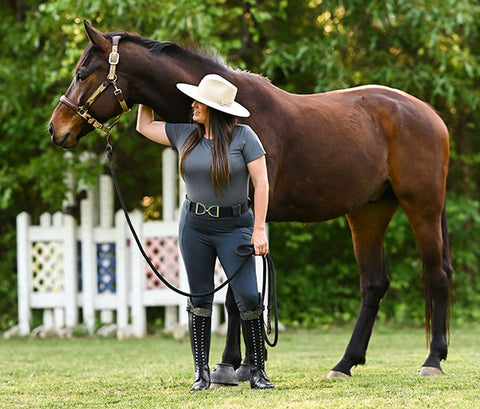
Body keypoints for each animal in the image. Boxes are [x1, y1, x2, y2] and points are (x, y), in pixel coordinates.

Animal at [47, 20, 452, 378]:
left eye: (83, 73)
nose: (56, 128)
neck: (229, 118)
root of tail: (429, 114)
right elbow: (240, 291)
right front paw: (246, 363)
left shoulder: (246, 216)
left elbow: (234, 295)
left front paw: (231, 365)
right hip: (368, 213)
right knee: (373, 284)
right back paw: (345, 363)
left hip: (422, 207)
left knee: (437, 274)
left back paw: (432, 360)